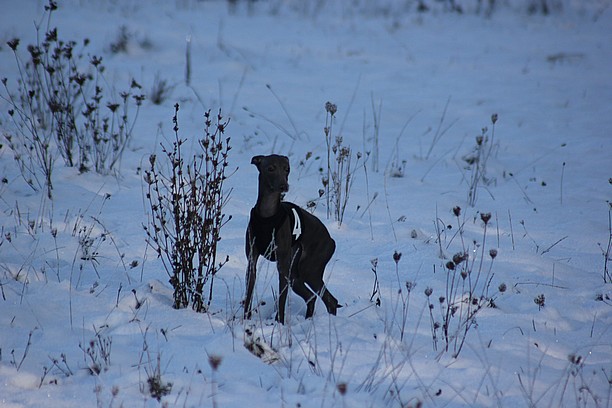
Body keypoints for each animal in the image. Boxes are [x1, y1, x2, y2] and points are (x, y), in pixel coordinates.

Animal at [244, 155, 340, 324]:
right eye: (270, 168)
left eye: (287, 169)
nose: (284, 186)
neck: (267, 215)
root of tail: (330, 240)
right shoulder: (252, 261)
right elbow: (248, 294)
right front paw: (244, 320)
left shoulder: (282, 266)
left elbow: (282, 300)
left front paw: (279, 323)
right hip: (296, 274)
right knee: (312, 297)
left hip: (310, 270)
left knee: (330, 300)